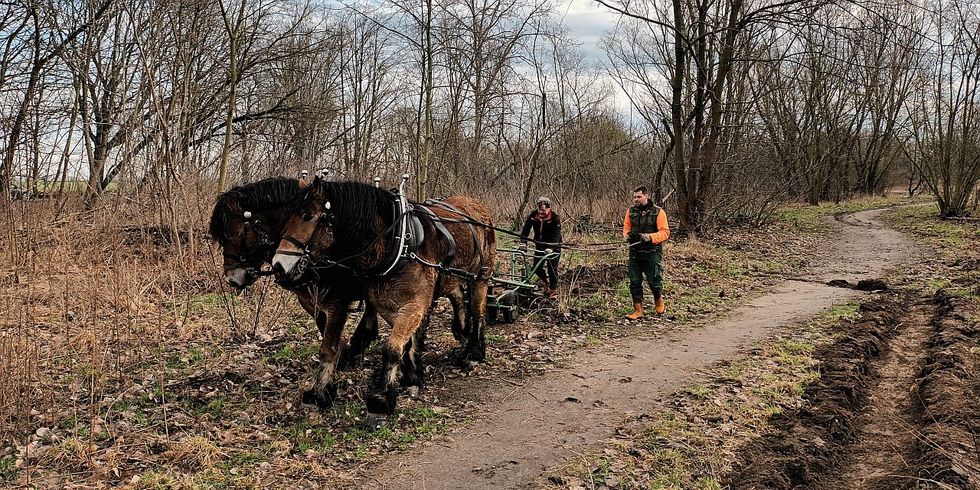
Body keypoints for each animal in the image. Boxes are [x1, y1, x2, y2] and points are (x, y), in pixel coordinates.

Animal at [271, 178, 495, 425]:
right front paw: (412, 375)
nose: (278, 265)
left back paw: (474, 352)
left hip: (481, 275)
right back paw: (462, 332)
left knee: (478, 311)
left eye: (308, 216)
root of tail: (477, 206)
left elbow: (391, 348)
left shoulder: (414, 305)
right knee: (456, 294)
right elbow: (404, 343)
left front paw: (382, 398)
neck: (399, 242)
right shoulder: (385, 305)